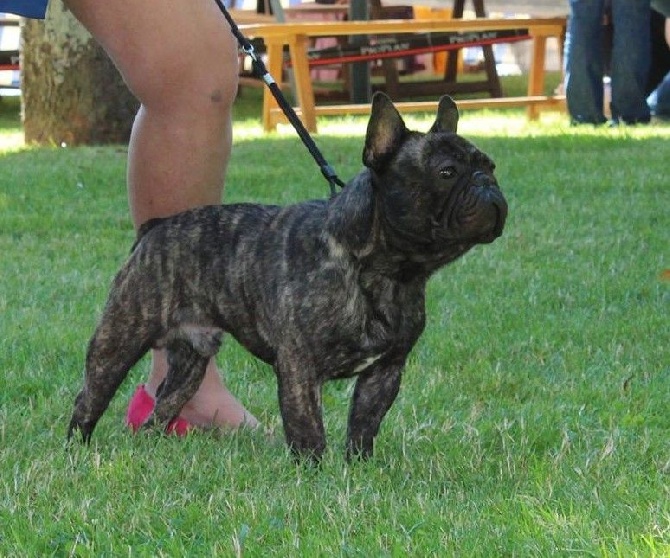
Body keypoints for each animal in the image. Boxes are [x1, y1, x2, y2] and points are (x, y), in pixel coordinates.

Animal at [68, 93, 510, 464]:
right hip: (120, 336)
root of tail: (155, 228)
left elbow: (364, 424)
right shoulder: (300, 366)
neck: (387, 271)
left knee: (164, 405)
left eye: (490, 167)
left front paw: (359, 468)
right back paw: (76, 450)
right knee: (88, 398)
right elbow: (307, 426)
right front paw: (313, 472)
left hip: (190, 362)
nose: (487, 184)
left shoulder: (385, 370)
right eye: (447, 172)